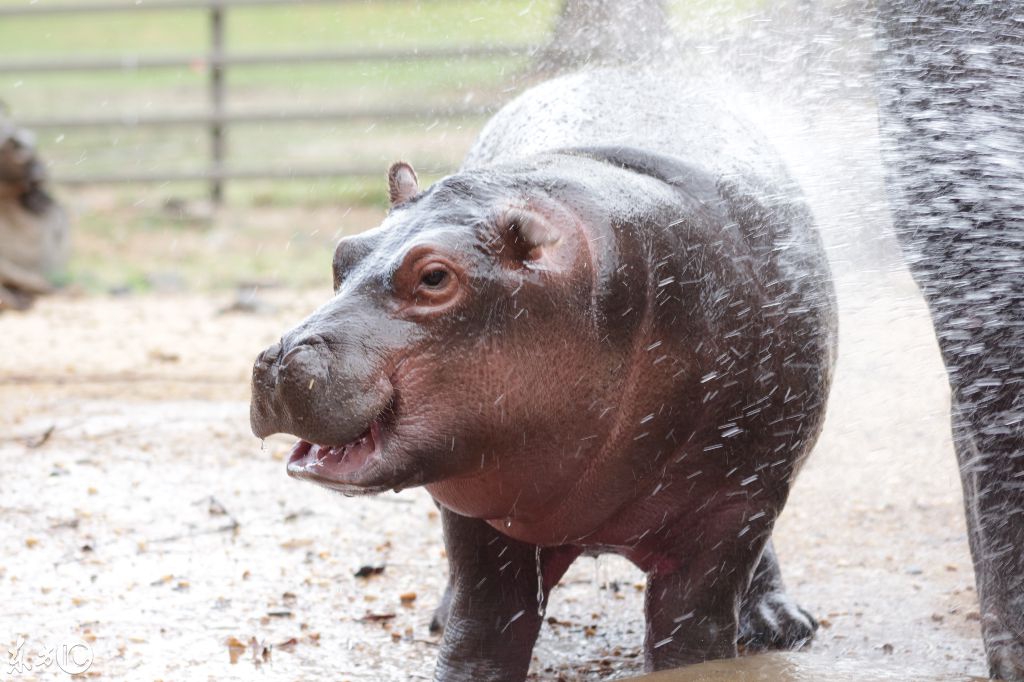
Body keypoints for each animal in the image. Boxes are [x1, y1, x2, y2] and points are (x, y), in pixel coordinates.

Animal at [251, 66, 835, 675]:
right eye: (343, 253)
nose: (278, 359)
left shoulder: (732, 505)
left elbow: (693, 632)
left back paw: (780, 626)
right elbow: (484, 622)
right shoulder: (479, 508)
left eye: (435, 276)